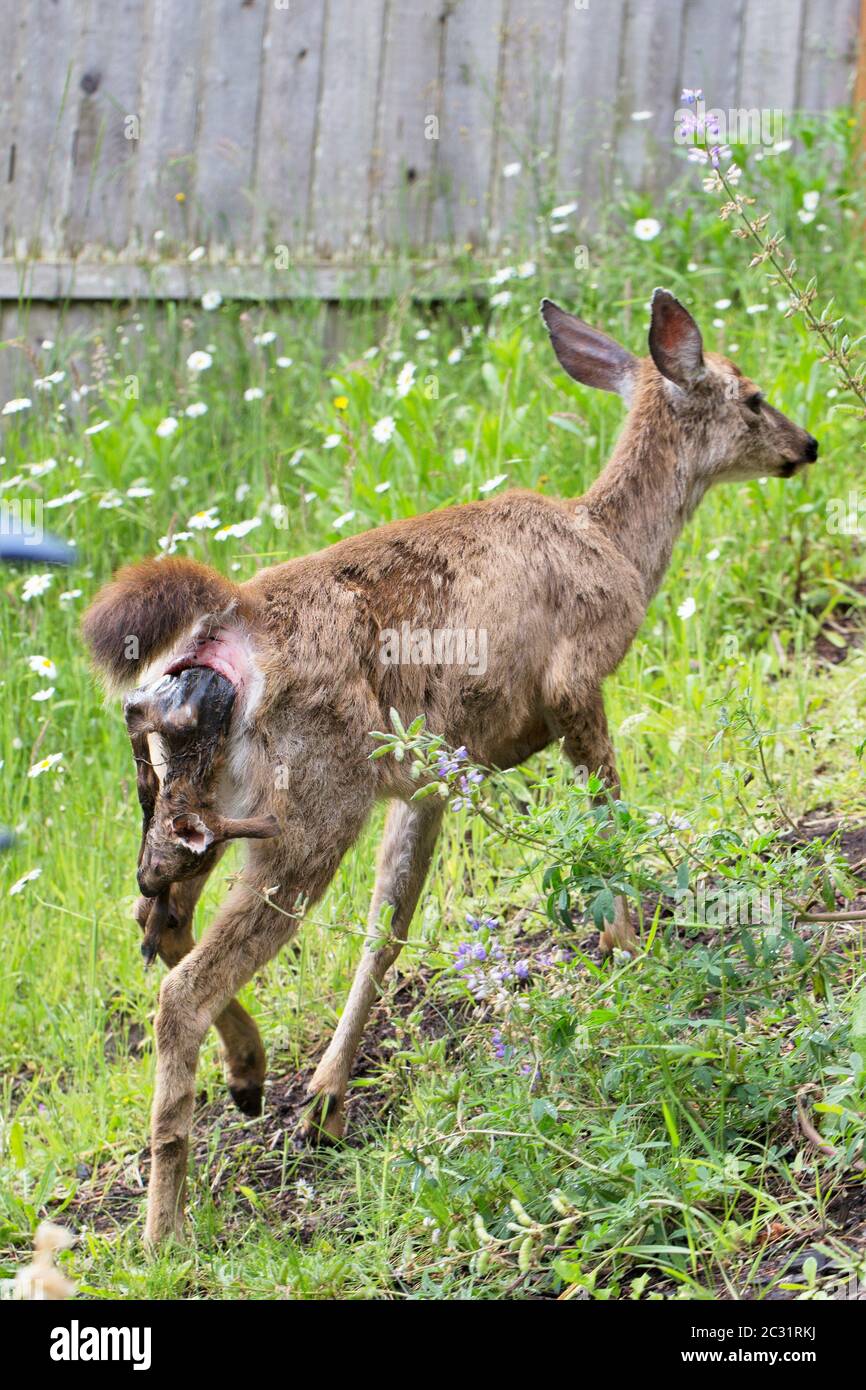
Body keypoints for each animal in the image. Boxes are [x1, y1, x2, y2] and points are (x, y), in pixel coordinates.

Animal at [81, 287, 817, 1245]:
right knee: (179, 992)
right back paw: (167, 1229)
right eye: (754, 396)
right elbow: (605, 820)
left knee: (157, 924)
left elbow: (387, 927)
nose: (808, 445)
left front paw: (325, 1101)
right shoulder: (576, 679)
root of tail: (225, 621)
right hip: (313, 806)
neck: (616, 549)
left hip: (195, 810)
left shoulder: (429, 773)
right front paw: (630, 948)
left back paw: (249, 1077)